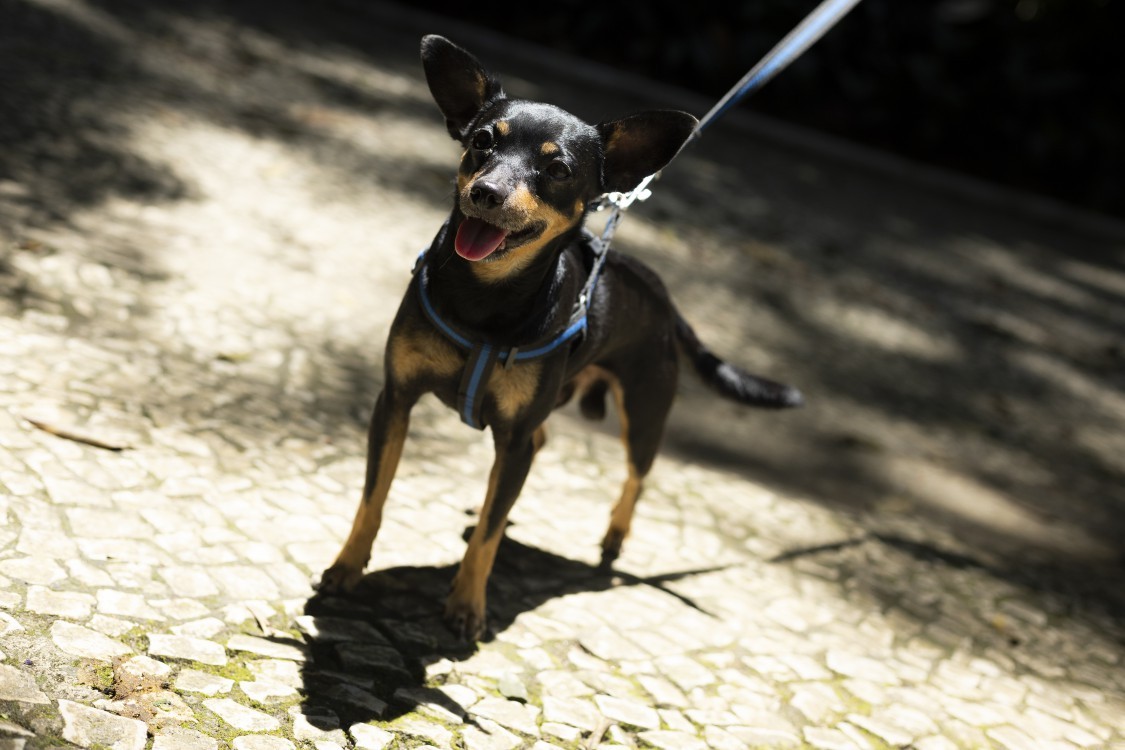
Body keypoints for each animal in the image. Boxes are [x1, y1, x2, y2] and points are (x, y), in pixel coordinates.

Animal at [317, 30, 801, 638]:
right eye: (481, 142)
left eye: (559, 169)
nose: (486, 192)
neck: (487, 300)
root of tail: (660, 294)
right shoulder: (396, 401)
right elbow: (373, 496)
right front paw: (347, 565)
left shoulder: (514, 435)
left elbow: (487, 538)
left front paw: (467, 606)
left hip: (643, 414)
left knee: (637, 476)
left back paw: (614, 536)